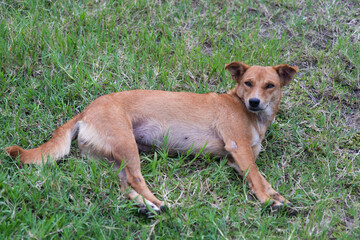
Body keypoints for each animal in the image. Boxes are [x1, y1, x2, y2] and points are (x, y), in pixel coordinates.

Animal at [5, 61, 298, 215]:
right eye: (248, 83)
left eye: (270, 85)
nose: (254, 102)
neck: (249, 113)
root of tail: (86, 111)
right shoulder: (239, 149)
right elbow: (258, 179)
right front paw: (267, 200)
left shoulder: (238, 161)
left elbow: (261, 178)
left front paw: (277, 197)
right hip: (127, 146)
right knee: (136, 179)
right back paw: (156, 203)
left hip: (116, 158)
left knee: (124, 187)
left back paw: (146, 206)